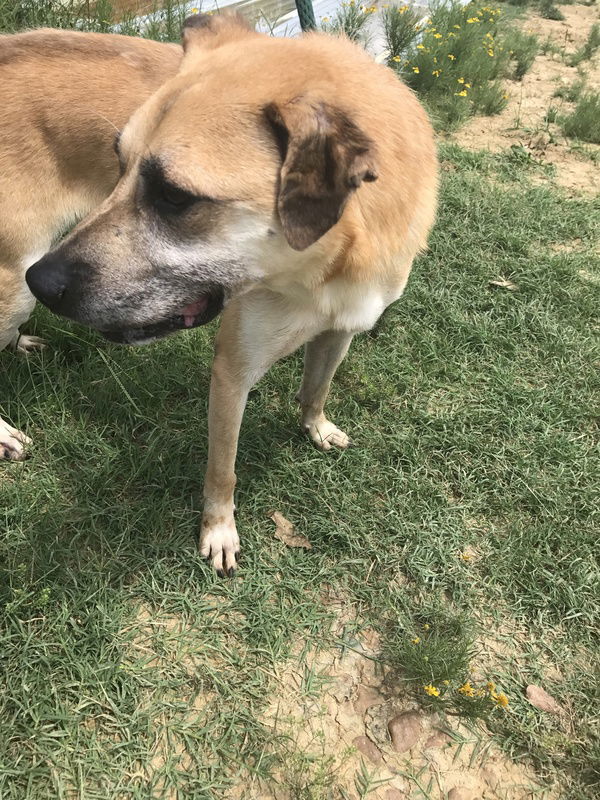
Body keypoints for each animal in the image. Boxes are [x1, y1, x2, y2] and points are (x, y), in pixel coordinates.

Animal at [25, 14, 438, 576]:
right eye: (118, 162)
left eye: (173, 196)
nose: (42, 283)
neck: (321, 270)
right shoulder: (232, 371)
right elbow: (223, 469)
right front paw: (219, 530)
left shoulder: (340, 329)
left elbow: (317, 388)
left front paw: (315, 426)